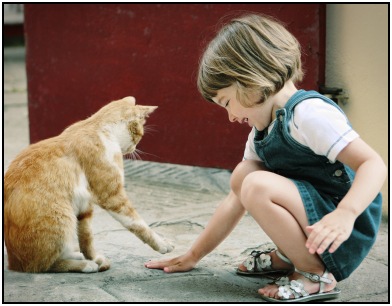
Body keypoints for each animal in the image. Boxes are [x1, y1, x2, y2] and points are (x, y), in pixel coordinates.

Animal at [3, 96, 174, 272]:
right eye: (140, 134)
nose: (134, 148)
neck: (100, 129)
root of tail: (14, 264)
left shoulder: (85, 204)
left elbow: (86, 237)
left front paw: (93, 257)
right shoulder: (113, 197)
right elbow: (138, 224)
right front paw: (162, 244)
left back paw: (78, 255)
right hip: (62, 218)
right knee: (44, 265)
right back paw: (84, 264)